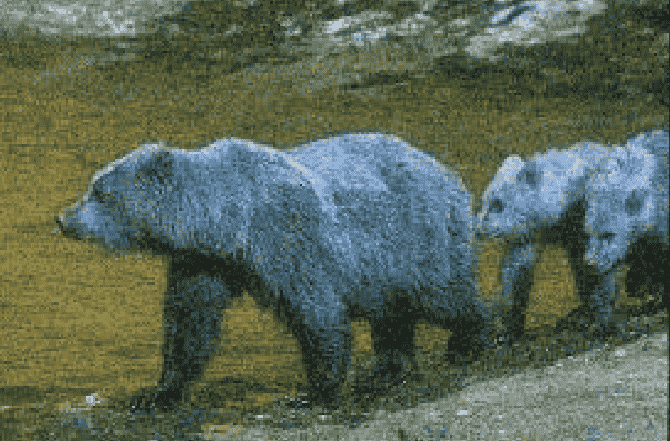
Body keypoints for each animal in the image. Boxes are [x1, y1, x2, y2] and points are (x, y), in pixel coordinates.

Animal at [57, 133, 493, 410]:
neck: (230, 224)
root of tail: (450, 174)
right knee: (391, 312)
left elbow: (316, 312)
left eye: (98, 191)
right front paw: (156, 392)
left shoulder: (289, 237)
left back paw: (470, 339)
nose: (63, 219)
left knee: (441, 295)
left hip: (416, 237)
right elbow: (190, 323)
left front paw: (312, 392)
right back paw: (388, 367)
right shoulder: (204, 262)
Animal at [475, 140, 613, 339]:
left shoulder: (584, 219)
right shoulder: (531, 234)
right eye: (484, 200)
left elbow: (594, 268)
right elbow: (517, 271)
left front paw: (599, 321)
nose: (477, 230)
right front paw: (507, 324)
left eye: (498, 204)